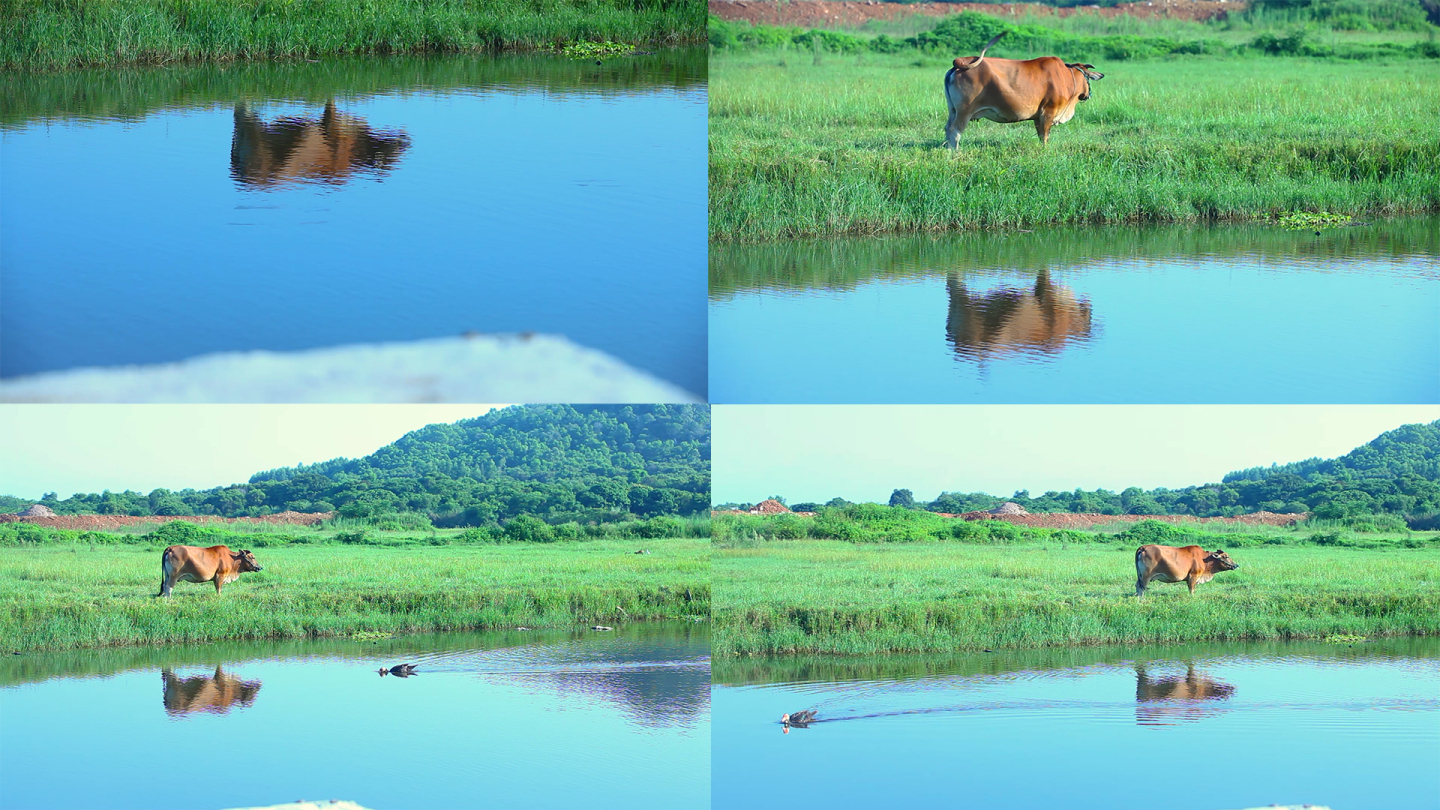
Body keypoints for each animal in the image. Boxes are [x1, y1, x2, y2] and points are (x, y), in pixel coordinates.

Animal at [938, 31, 1105, 148]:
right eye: (1088, 78)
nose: (1087, 95)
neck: (1065, 77)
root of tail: (958, 63)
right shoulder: (1048, 112)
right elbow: (1045, 137)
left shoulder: (1038, 116)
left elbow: (1040, 135)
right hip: (964, 112)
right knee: (955, 131)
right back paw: (955, 153)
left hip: (953, 110)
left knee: (947, 129)